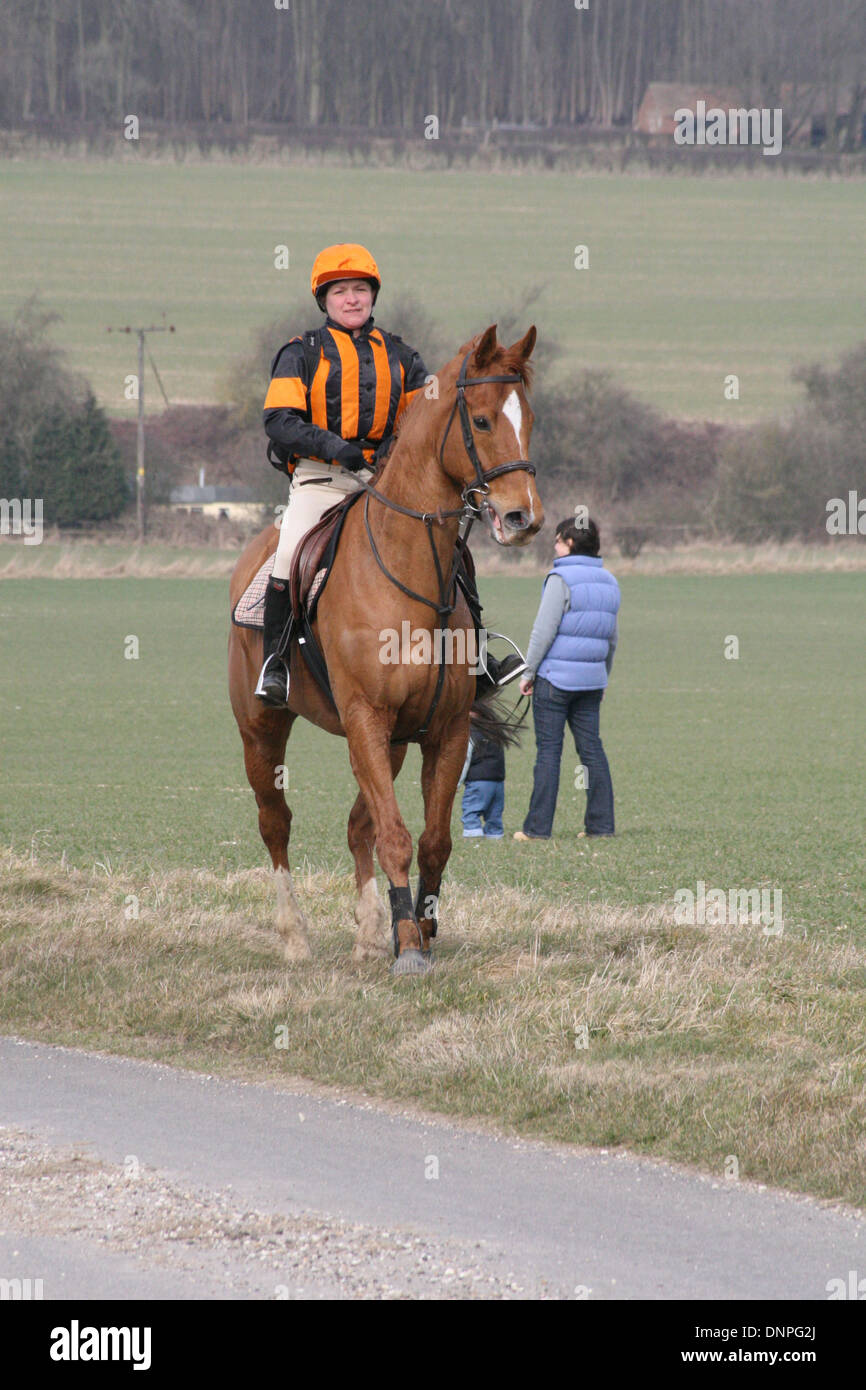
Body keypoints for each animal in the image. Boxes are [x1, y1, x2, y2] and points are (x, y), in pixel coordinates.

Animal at [230, 325, 542, 978]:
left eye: (528, 418)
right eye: (480, 420)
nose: (523, 516)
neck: (408, 567)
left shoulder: (442, 731)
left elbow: (431, 841)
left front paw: (418, 930)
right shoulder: (366, 720)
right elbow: (396, 836)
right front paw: (409, 951)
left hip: (392, 744)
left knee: (358, 828)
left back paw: (372, 933)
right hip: (262, 730)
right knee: (276, 823)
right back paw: (295, 936)